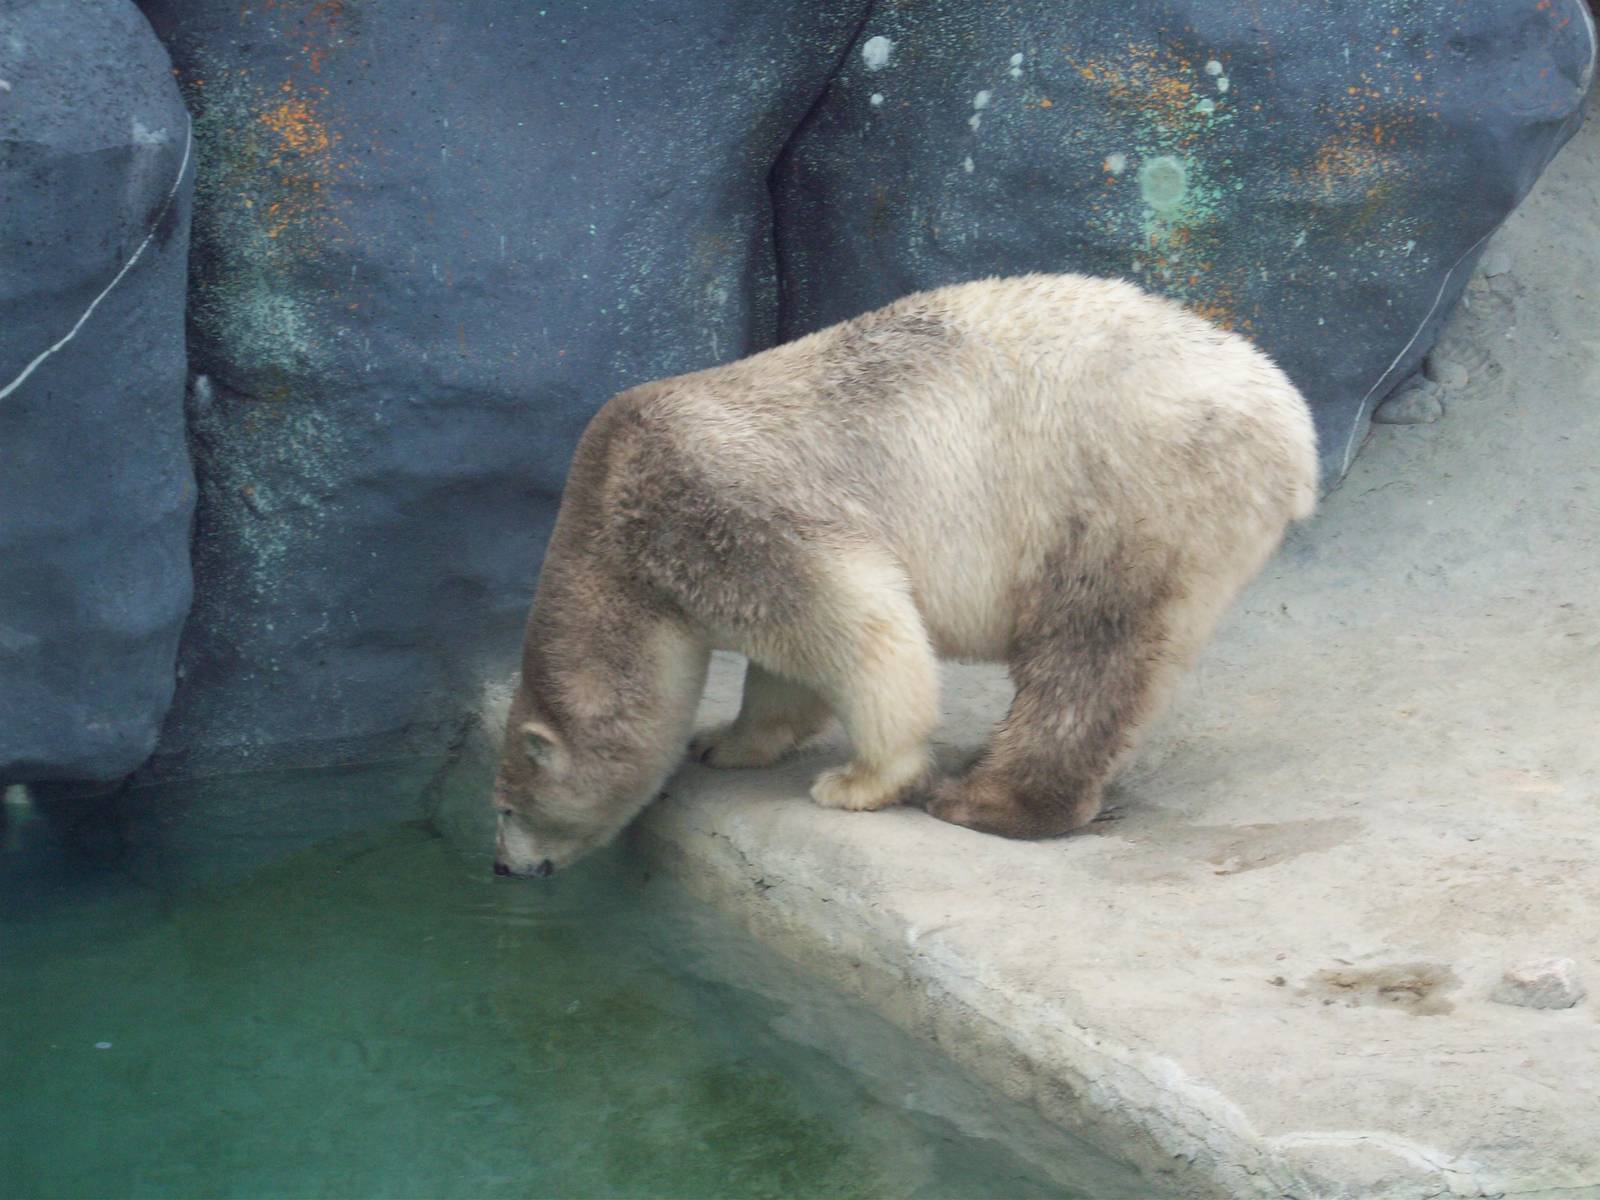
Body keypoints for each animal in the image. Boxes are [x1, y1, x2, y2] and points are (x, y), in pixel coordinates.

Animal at [491, 273, 1317, 878]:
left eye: (506, 807)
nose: (501, 867)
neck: (610, 508)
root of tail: (1291, 428)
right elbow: (784, 670)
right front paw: (723, 740)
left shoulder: (719, 506)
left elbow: (859, 619)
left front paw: (858, 782)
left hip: (1124, 498)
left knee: (1087, 658)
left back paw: (981, 798)